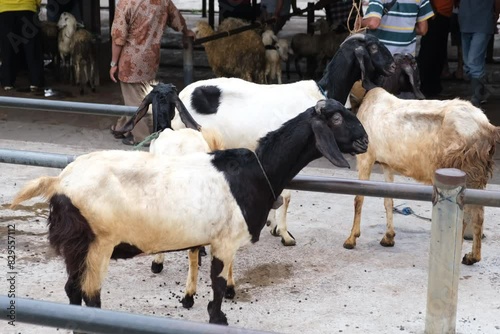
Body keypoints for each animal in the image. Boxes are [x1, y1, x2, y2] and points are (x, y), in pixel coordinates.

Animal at [10, 98, 372, 324]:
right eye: (336, 118)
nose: (365, 142)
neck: (258, 170)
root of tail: (59, 182)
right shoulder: (224, 241)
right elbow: (218, 286)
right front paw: (218, 317)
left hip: (77, 247)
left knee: (73, 290)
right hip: (97, 242)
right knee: (91, 295)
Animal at [344, 87, 500, 264]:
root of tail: (488, 128)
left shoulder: (366, 157)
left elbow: (358, 198)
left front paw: (351, 239)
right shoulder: (387, 164)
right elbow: (388, 201)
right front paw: (388, 237)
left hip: (462, 170)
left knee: (466, 213)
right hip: (477, 175)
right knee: (479, 213)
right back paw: (473, 256)